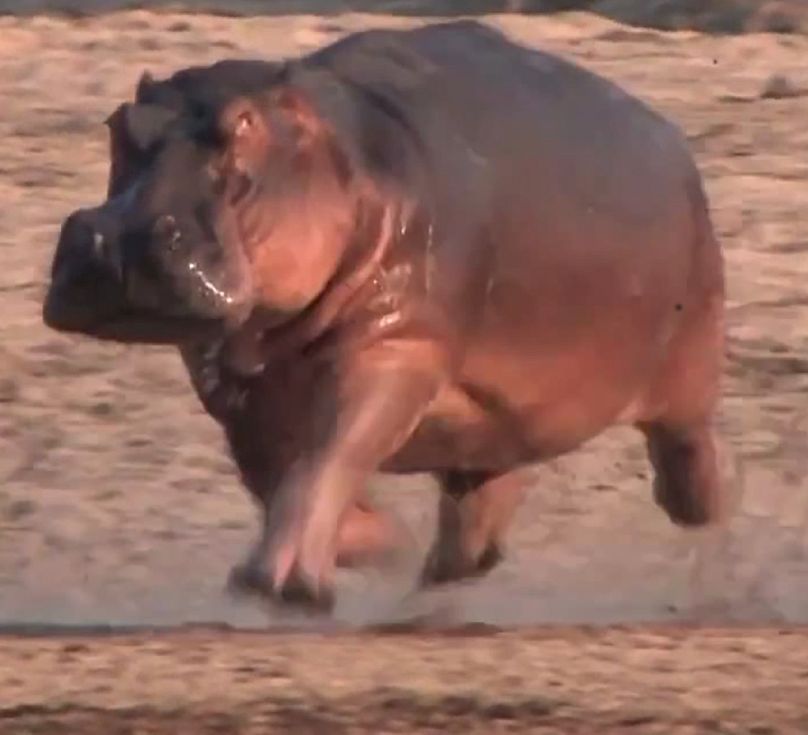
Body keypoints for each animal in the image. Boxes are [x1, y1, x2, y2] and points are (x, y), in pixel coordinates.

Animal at [42, 20, 724, 612]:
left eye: (245, 124)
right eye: (116, 122)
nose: (119, 239)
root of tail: (668, 134)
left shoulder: (398, 346)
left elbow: (330, 454)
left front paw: (281, 585)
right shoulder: (233, 383)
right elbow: (279, 474)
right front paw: (383, 543)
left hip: (688, 362)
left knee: (688, 467)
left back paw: (718, 518)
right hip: (505, 424)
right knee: (476, 516)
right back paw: (436, 588)